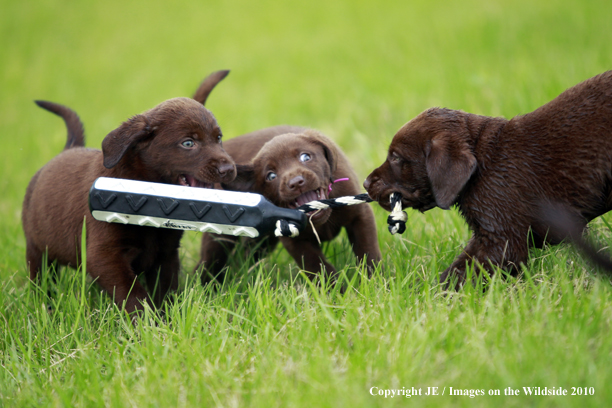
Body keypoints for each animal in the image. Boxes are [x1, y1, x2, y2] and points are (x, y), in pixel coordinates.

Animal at [22, 85, 235, 312]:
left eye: (218, 138)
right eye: (188, 143)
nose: (229, 168)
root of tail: (67, 150)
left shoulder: (166, 255)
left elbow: (165, 291)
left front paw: (166, 316)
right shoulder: (104, 256)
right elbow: (134, 296)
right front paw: (147, 320)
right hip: (37, 249)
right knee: (42, 279)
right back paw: (45, 305)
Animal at [196, 127, 380, 284]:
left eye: (306, 157)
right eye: (271, 176)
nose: (296, 182)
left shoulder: (360, 215)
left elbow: (367, 251)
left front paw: (373, 282)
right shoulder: (294, 240)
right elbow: (317, 266)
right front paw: (335, 292)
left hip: (262, 242)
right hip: (219, 237)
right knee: (209, 262)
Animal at [366, 71, 612, 286]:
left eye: (396, 157)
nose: (366, 183)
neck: (482, 162)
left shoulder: (501, 240)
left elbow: (460, 275)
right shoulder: (488, 236)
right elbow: (457, 268)